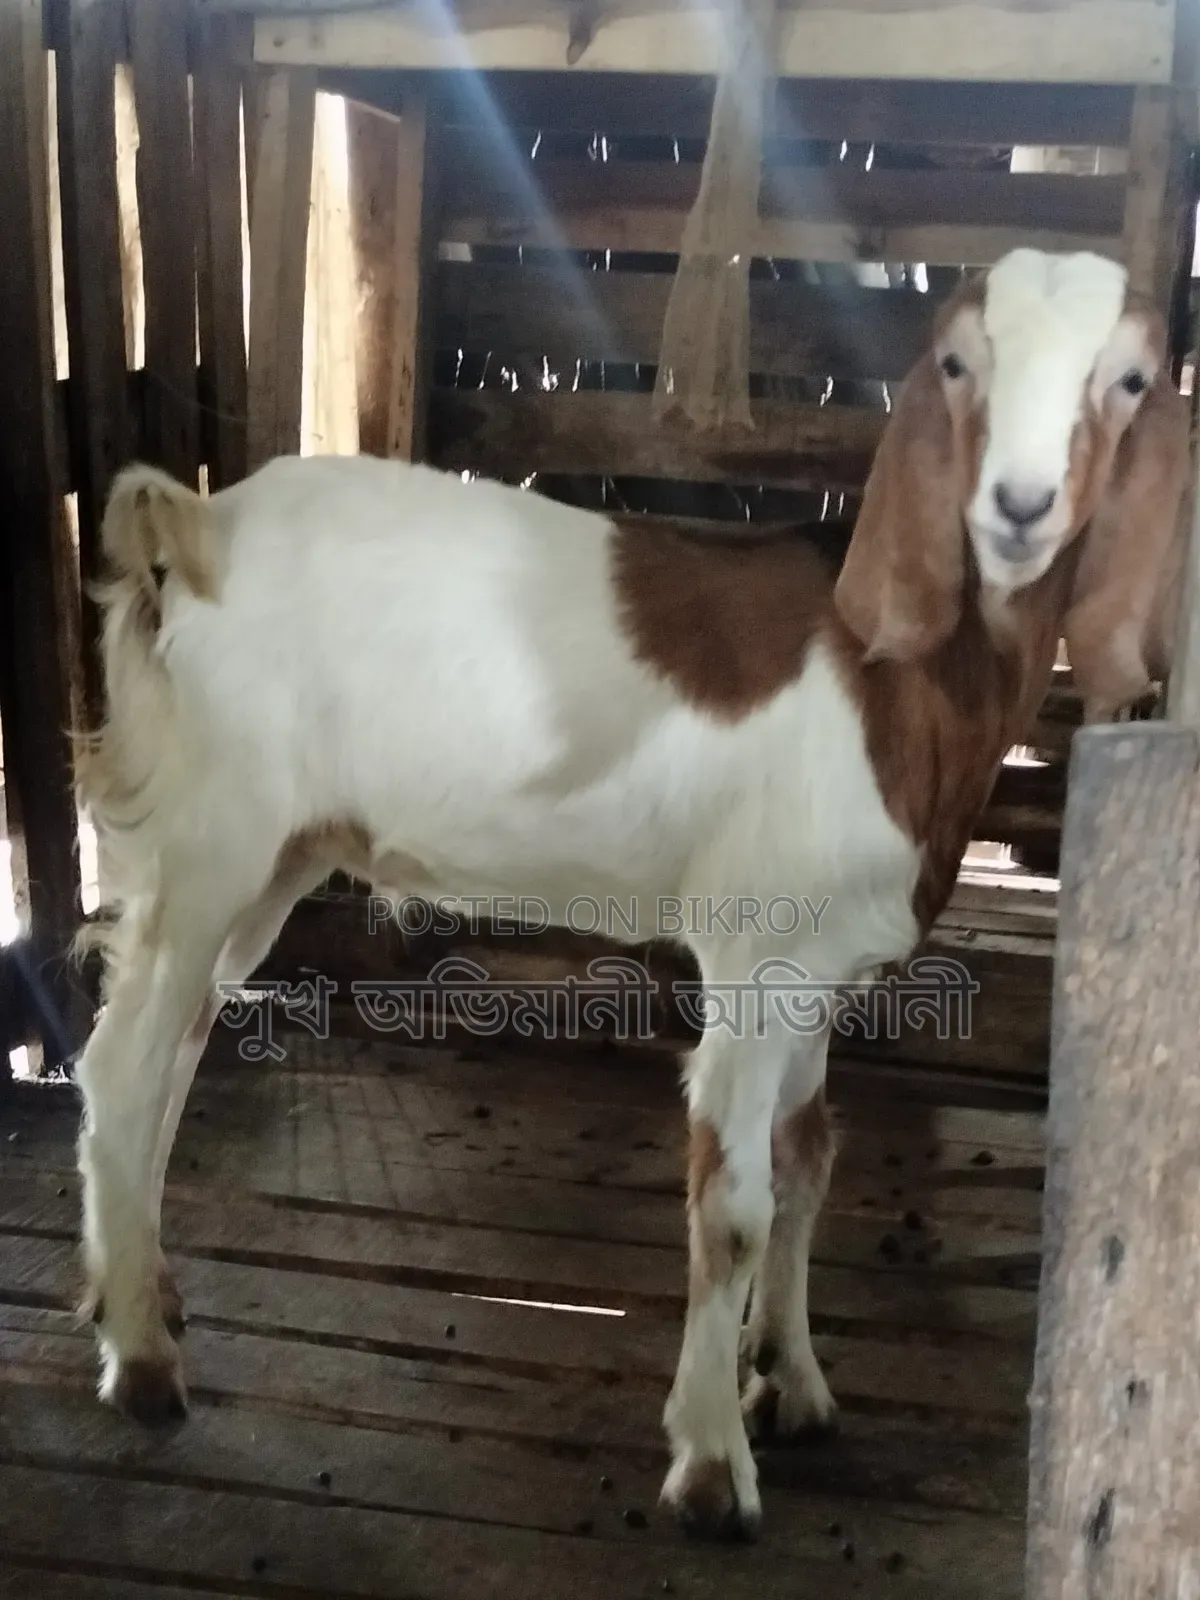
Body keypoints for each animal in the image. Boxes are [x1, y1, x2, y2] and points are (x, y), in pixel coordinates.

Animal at [73, 247, 1190, 1541]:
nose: (1017, 505)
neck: (903, 685)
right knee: (122, 1064)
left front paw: (793, 1383)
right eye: (959, 362)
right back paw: (142, 1359)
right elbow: (735, 1202)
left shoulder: (823, 965)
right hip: (218, 829)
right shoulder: (754, 953)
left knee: (178, 1047)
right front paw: (709, 1462)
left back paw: (143, 1293)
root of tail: (199, 526)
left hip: (275, 850)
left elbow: (809, 1158)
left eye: (1131, 381)